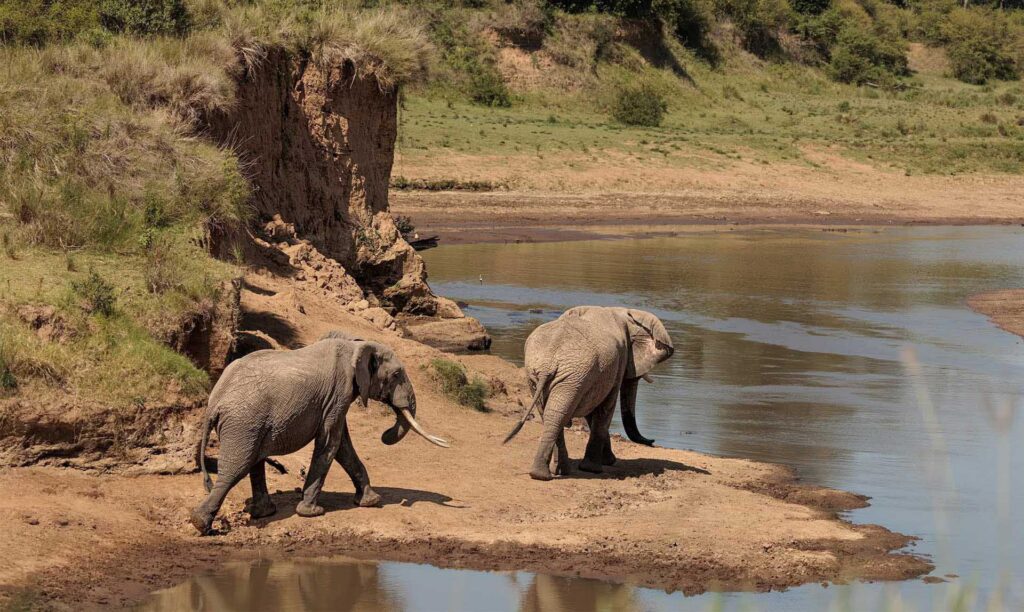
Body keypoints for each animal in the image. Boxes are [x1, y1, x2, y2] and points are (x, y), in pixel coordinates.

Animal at [190, 331, 449, 535]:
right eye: (396, 375)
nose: (385, 435)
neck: (355, 345)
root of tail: (214, 401)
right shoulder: (338, 393)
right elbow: (329, 445)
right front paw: (312, 512)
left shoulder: (337, 400)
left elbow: (343, 446)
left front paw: (371, 501)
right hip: (242, 423)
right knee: (236, 468)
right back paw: (200, 524)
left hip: (249, 425)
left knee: (253, 461)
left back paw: (262, 513)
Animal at [504, 307, 674, 481]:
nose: (652, 441)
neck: (623, 312)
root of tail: (547, 364)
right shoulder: (618, 363)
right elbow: (605, 409)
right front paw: (595, 468)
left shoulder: (594, 377)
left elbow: (593, 411)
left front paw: (605, 462)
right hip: (569, 375)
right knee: (558, 413)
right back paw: (555, 472)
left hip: (549, 376)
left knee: (553, 414)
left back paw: (549, 473)